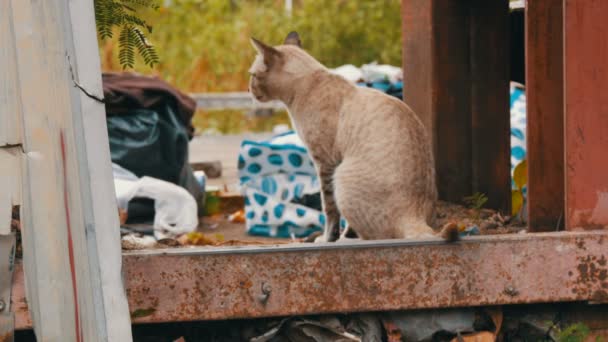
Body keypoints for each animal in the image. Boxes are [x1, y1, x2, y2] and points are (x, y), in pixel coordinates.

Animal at [247, 30, 456, 242]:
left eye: (253, 76)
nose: (249, 90)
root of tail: (416, 216)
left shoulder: (324, 163)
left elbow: (329, 209)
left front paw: (328, 239)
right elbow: (340, 218)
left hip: (341, 176)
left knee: (372, 235)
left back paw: (343, 240)